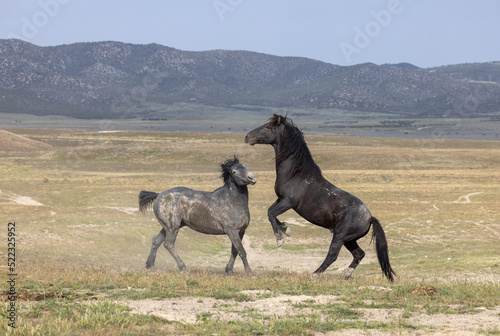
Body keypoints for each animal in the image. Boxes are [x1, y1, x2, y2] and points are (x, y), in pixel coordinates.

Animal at [245, 115, 394, 280]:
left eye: (267, 127)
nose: (247, 137)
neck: (295, 174)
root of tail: (369, 217)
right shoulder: (280, 199)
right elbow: (270, 212)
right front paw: (286, 229)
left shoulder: (288, 202)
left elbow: (271, 214)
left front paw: (280, 239)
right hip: (349, 240)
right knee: (359, 254)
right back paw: (346, 274)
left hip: (340, 237)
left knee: (333, 255)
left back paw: (315, 273)